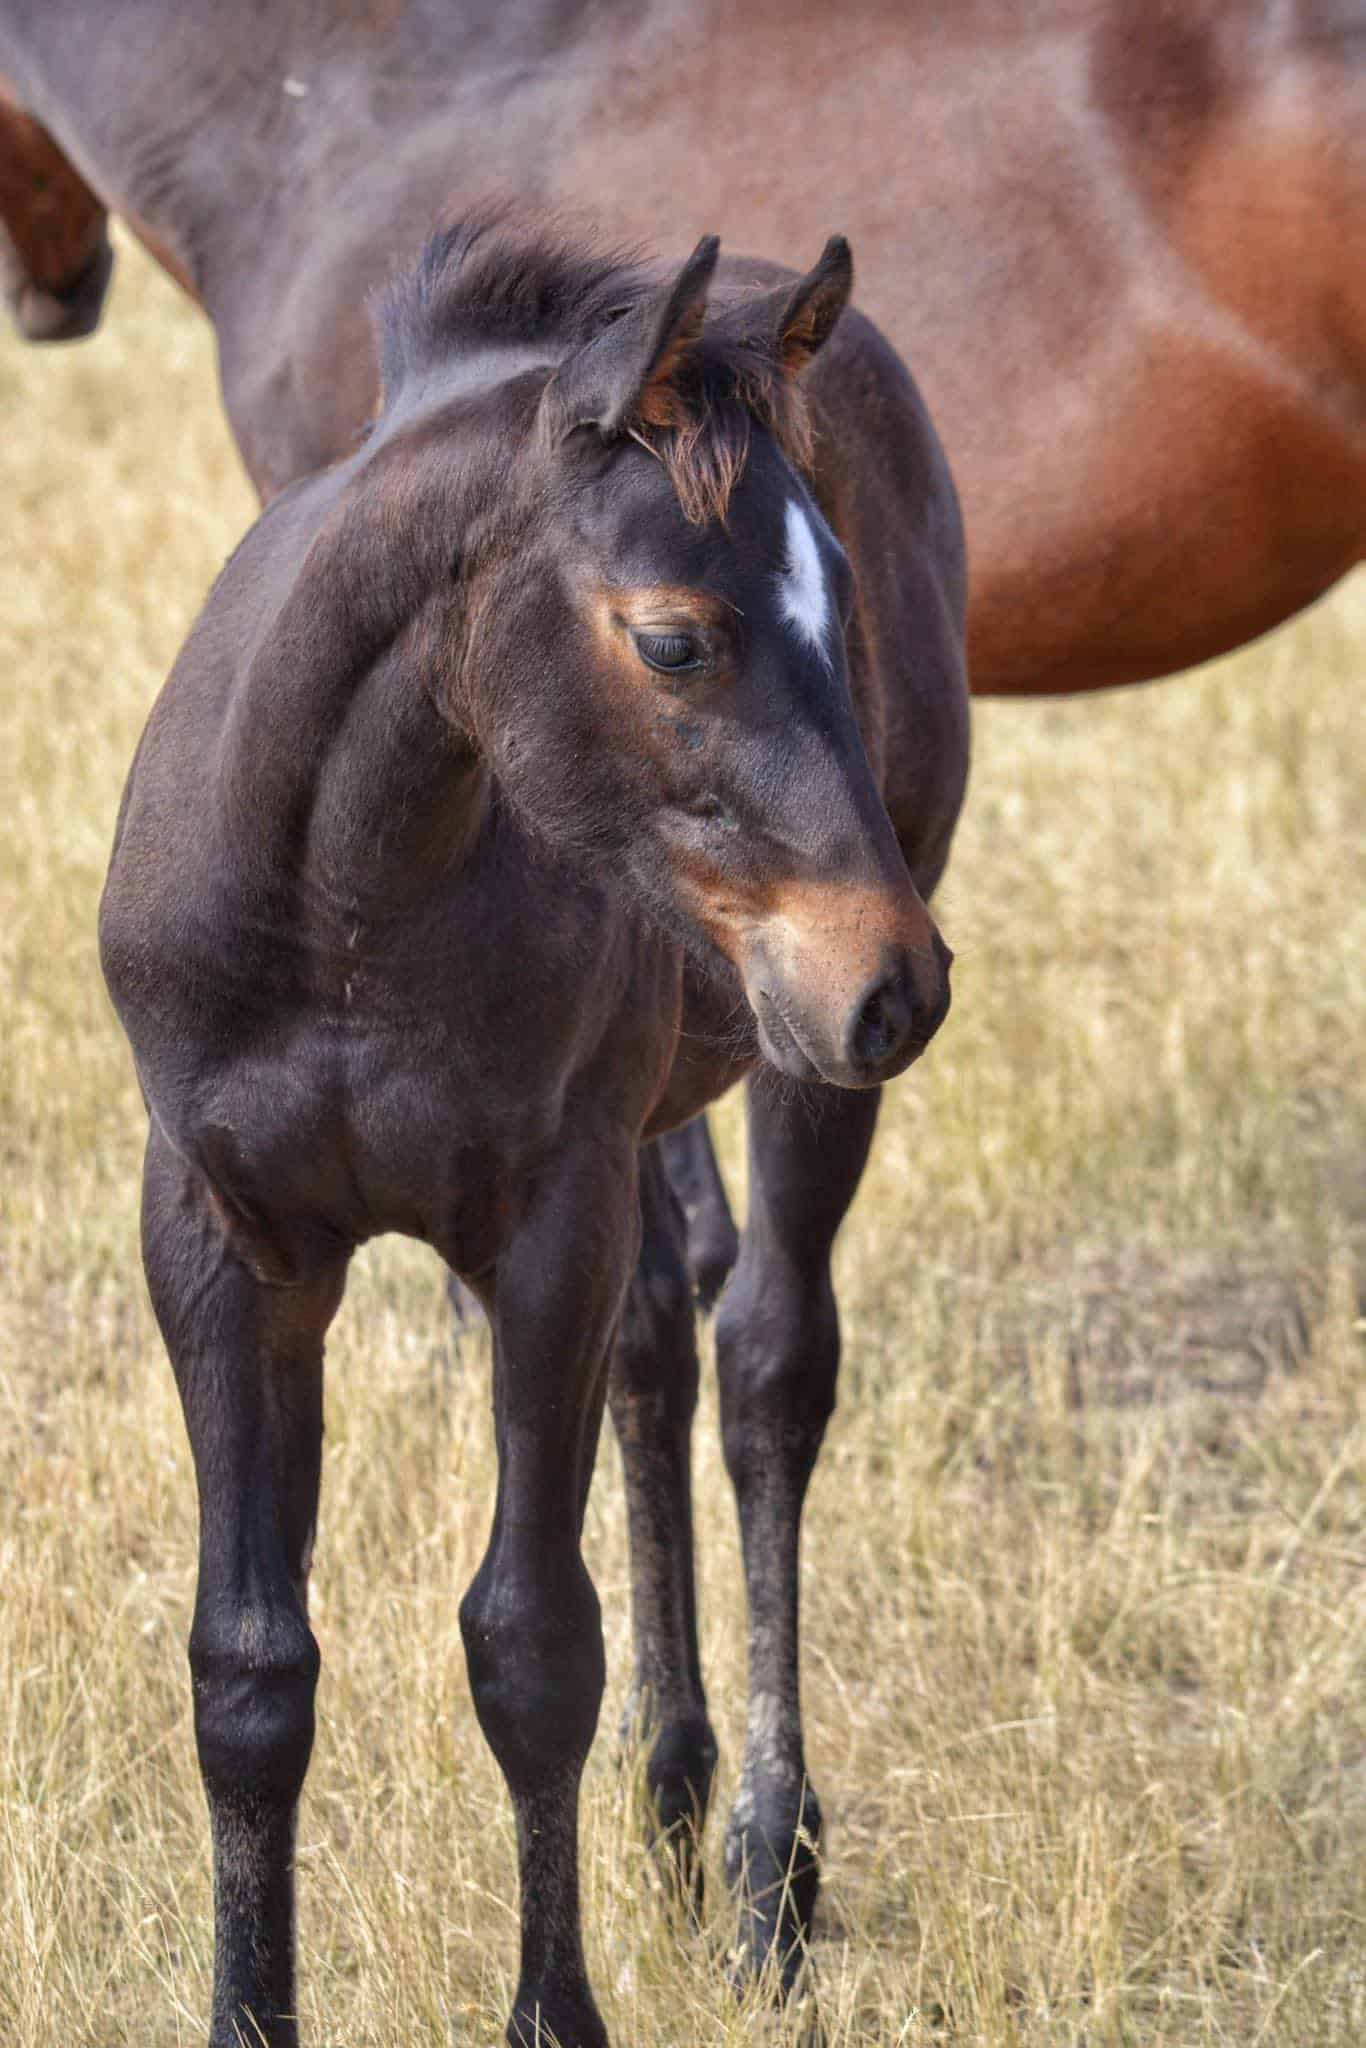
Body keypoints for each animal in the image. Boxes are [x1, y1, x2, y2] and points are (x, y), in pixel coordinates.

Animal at [98, 216, 970, 2039]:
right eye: (675, 641)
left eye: (842, 606)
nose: (898, 981)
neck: (346, 910)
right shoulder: (220, 1236)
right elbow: (247, 1664)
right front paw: (245, 2012)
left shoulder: (543, 1229)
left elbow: (531, 1644)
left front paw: (558, 2012)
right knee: (661, 1348)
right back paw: (673, 1799)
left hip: (788, 1077)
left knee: (768, 1370)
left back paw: (766, 1875)